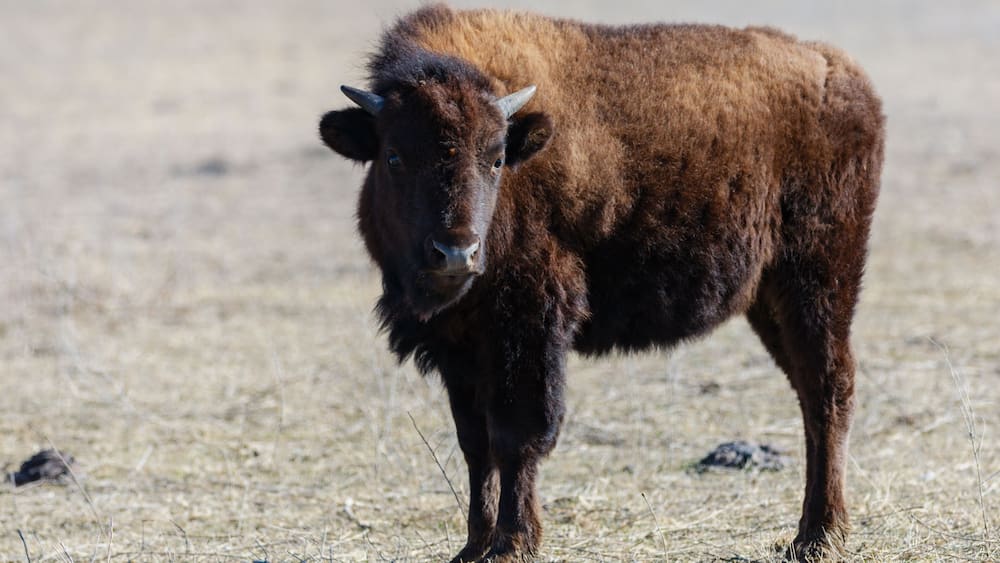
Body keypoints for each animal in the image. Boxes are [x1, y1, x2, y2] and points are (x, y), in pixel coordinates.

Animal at [320, 5, 884, 561]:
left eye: (496, 157)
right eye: (394, 156)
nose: (456, 253)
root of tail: (842, 73)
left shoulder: (527, 327)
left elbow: (517, 434)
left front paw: (512, 544)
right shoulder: (459, 348)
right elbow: (475, 444)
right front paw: (473, 547)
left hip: (817, 280)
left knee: (829, 390)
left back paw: (817, 536)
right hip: (768, 298)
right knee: (810, 394)